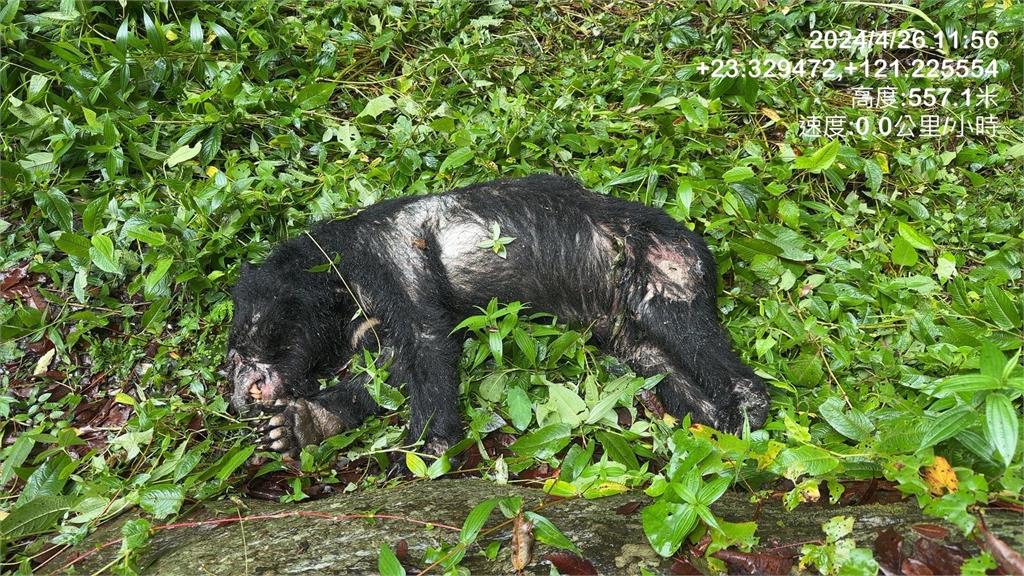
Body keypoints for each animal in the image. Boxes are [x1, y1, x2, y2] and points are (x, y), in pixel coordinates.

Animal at [224, 175, 770, 457]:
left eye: (238, 350)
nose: (237, 396)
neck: (337, 272)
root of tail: (699, 245)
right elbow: (392, 369)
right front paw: (302, 424)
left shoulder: (389, 254)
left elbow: (426, 343)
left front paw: (426, 448)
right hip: (626, 328)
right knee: (664, 366)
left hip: (664, 266)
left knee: (693, 338)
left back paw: (748, 410)